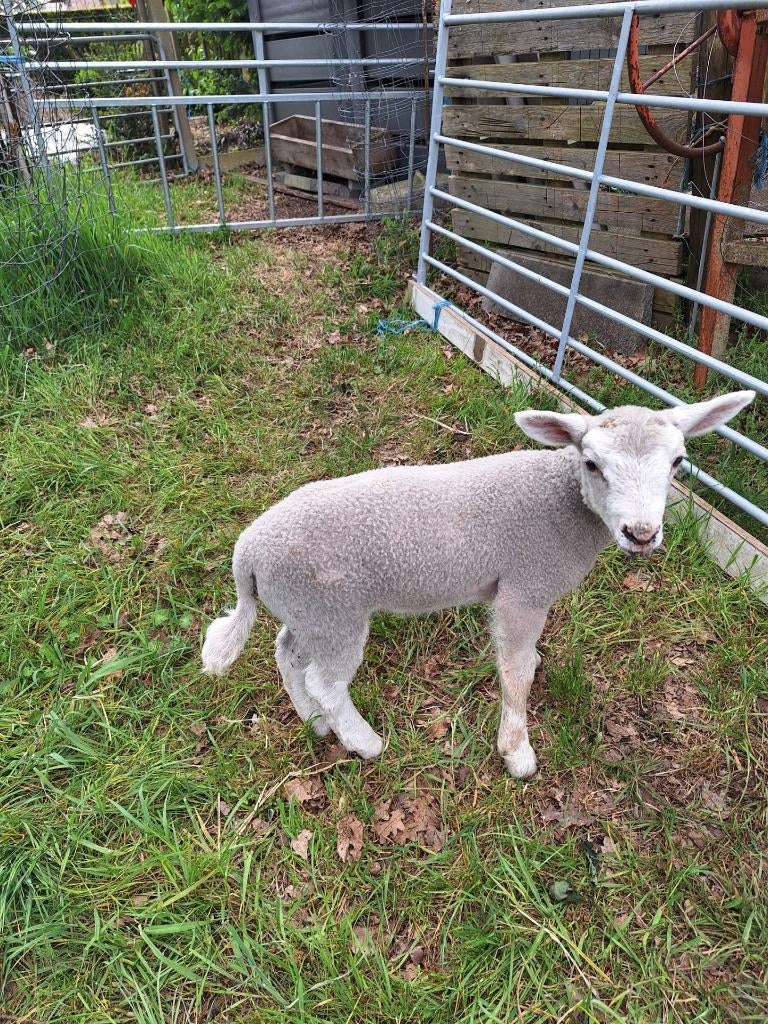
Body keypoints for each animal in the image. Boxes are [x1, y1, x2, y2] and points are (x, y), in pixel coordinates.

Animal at [201, 390, 755, 778]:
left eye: (678, 462)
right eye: (592, 463)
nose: (641, 534)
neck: (566, 504)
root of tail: (247, 552)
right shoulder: (524, 588)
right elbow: (515, 671)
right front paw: (517, 752)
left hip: (306, 609)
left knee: (287, 653)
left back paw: (314, 722)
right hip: (334, 611)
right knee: (327, 680)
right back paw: (363, 741)